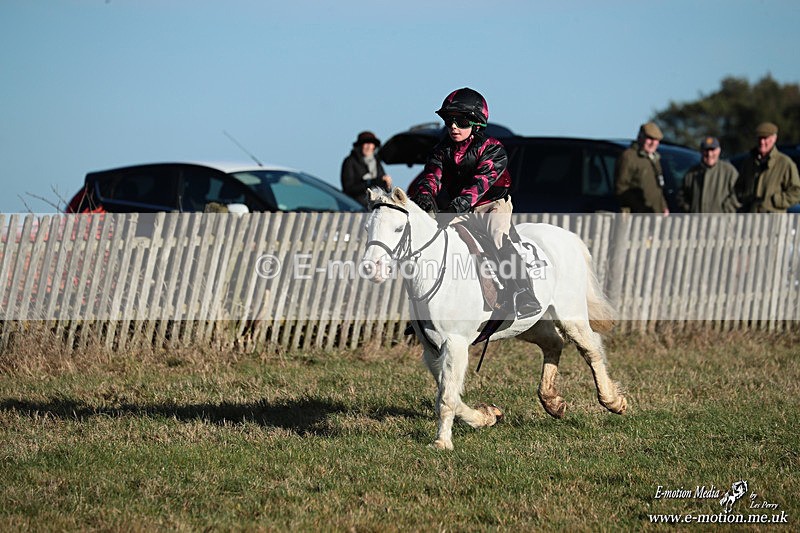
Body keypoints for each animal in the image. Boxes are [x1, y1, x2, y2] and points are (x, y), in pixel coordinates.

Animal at [362, 187, 627, 450]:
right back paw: (552, 402)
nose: (371, 268)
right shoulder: (431, 349)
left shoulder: (455, 344)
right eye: (367, 227)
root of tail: (568, 237)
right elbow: (449, 394)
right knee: (554, 343)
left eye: (398, 229)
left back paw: (613, 401)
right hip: (527, 324)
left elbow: (447, 397)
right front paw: (487, 416)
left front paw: (442, 442)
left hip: (570, 314)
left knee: (590, 349)